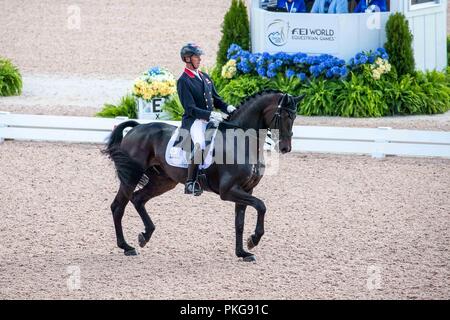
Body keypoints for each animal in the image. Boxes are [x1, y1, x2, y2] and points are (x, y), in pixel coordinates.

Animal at [103, 90, 304, 262]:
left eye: (294, 117)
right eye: (284, 116)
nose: (285, 148)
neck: (241, 141)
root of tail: (136, 129)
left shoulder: (246, 189)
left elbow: (240, 221)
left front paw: (242, 252)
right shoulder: (228, 191)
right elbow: (261, 206)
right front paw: (253, 240)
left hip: (163, 181)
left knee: (138, 199)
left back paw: (145, 236)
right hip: (131, 177)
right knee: (118, 206)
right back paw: (126, 247)